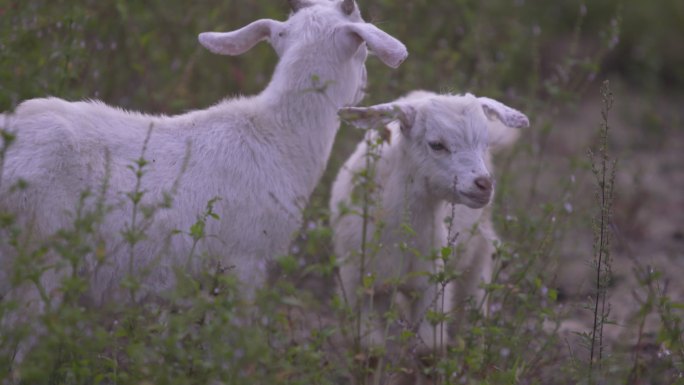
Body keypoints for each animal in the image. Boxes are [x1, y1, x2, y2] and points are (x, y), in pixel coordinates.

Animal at [328, 90, 528, 352]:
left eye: (484, 145)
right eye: (437, 145)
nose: (484, 185)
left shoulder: (432, 286)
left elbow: (429, 347)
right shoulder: (359, 287)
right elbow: (372, 349)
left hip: (479, 250)